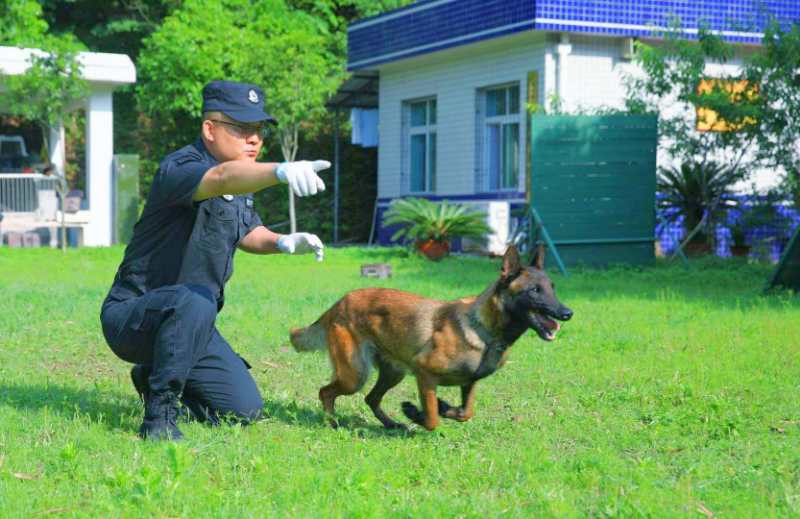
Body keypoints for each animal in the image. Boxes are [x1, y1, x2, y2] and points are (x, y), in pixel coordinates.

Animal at [288, 246, 568, 432]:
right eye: (534, 290)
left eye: (552, 288)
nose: (567, 313)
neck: (483, 329)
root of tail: (338, 304)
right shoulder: (424, 373)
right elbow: (432, 421)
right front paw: (416, 413)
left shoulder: (469, 382)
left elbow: (465, 412)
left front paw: (444, 407)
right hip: (355, 375)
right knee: (326, 392)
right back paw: (333, 422)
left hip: (393, 373)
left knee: (371, 398)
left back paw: (391, 424)